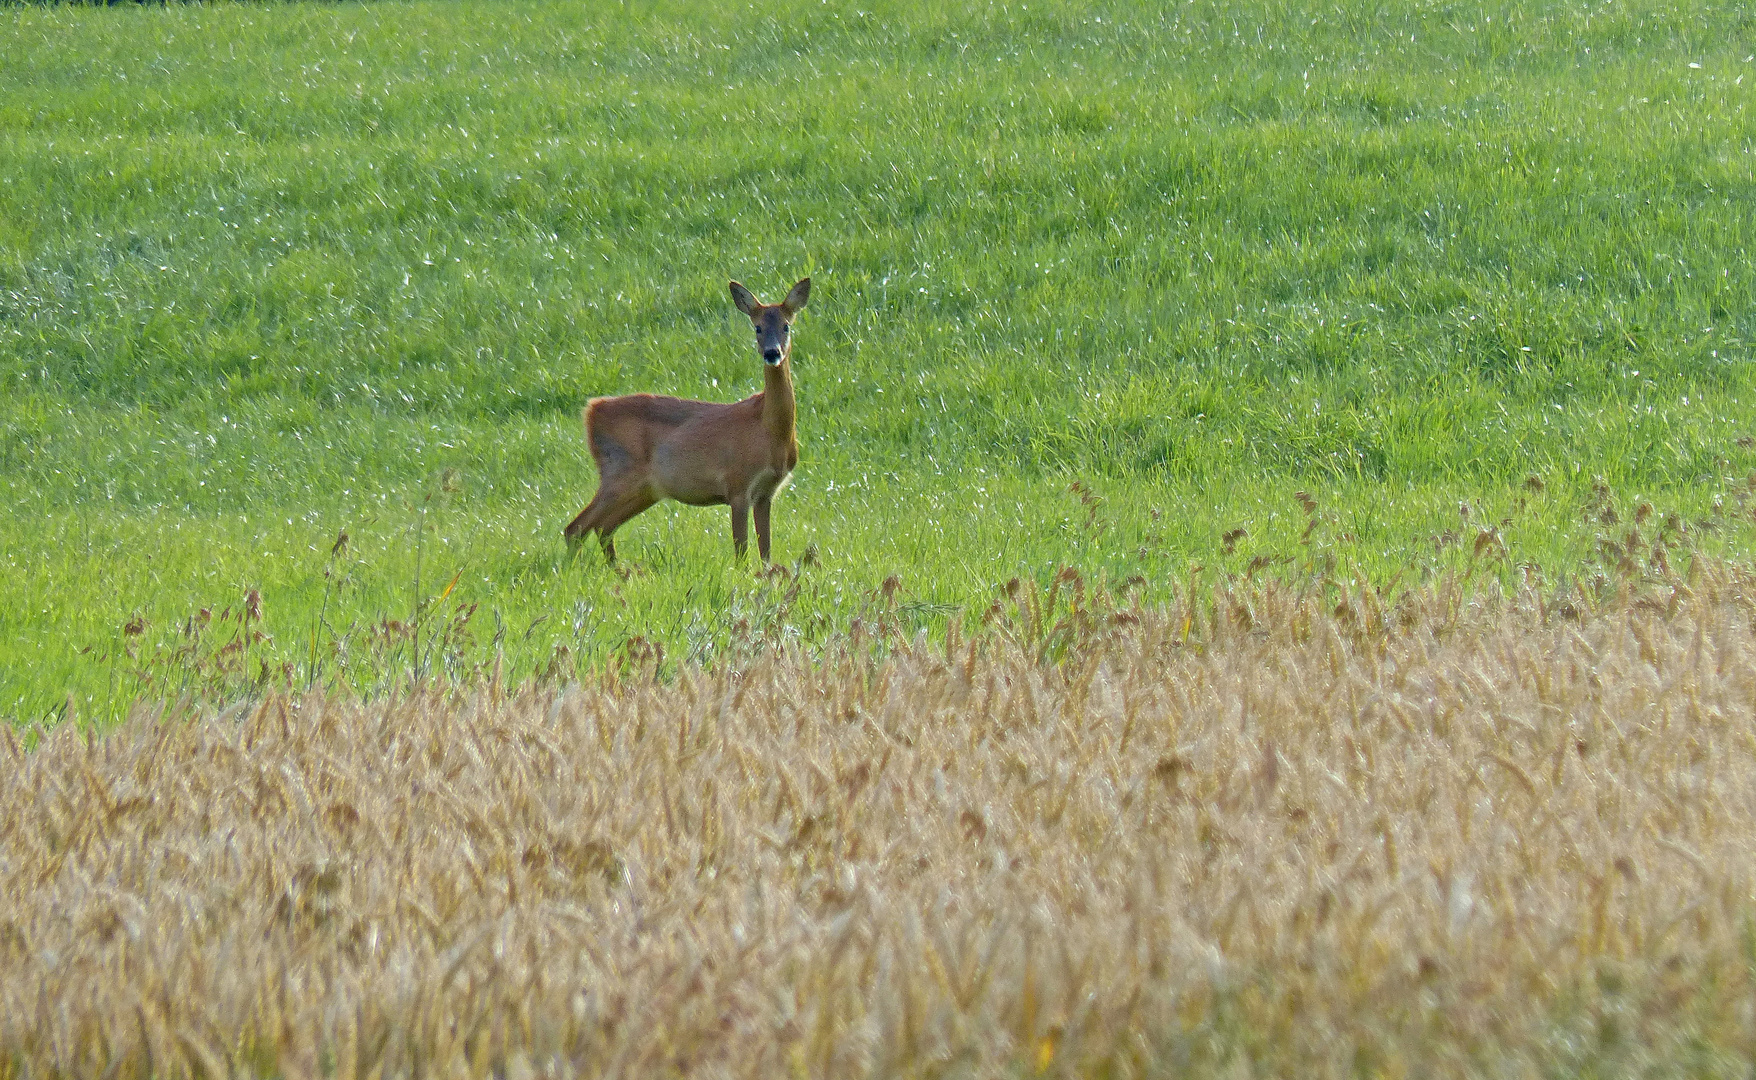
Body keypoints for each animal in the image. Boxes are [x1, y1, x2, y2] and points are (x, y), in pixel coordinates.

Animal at [561, 277, 807, 565]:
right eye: (757, 327)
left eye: (786, 326)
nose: (771, 353)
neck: (770, 433)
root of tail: (591, 411)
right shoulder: (737, 484)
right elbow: (742, 554)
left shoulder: (767, 493)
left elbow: (766, 554)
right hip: (618, 472)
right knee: (577, 527)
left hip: (646, 489)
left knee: (603, 527)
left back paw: (618, 571)